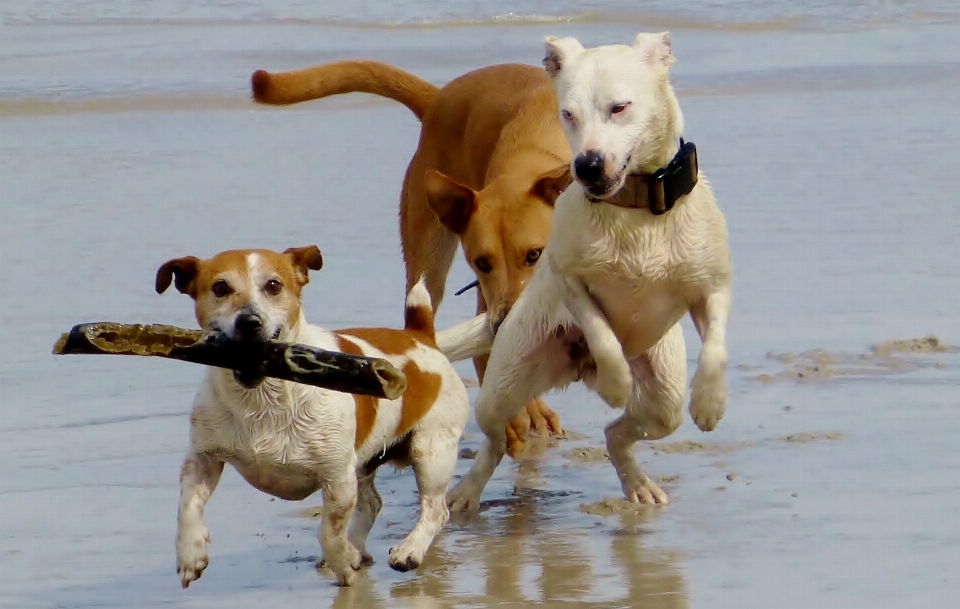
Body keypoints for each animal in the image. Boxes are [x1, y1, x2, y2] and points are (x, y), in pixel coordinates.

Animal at [156, 245, 470, 588]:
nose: (249, 321)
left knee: (435, 510)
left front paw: (344, 563)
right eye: (220, 288)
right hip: (366, 463)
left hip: (430, 451)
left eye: (274, 286)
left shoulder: (337, 478)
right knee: (372, 503)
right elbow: (187, 506)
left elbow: (329, 533)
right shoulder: (203, 458)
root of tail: (420, 336)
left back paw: (408, 551)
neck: (262, 396)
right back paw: (358, 547)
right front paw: (190, 555)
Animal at [438, 32, 732, 508]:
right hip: (502, 388)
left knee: (618, 434)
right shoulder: (572, 284)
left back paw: (637, 483)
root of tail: (574, 370)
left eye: (620, 107)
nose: (587, 165)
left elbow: (716, 347)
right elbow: (603, 335)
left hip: (663, 403)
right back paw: (466, 493)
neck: (635, 212)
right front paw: (615, 380)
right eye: (567, 114)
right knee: (497, 438)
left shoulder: (713, 289)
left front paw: (709, 402)